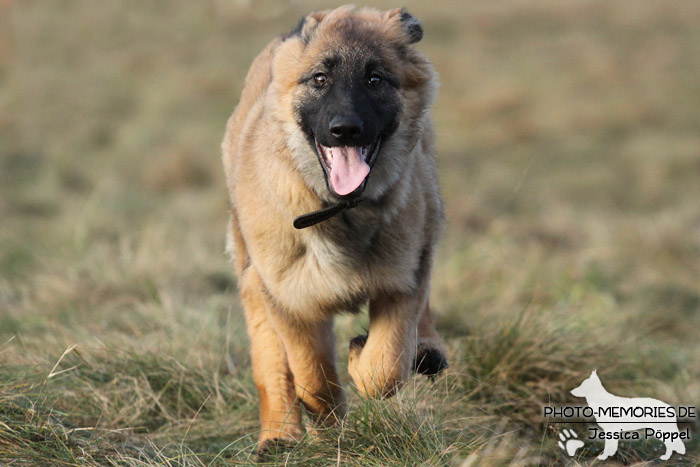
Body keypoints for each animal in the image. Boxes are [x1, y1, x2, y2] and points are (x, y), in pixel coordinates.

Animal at [220, 4, 448, 458]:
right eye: (320, 79)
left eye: (375, 79)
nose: (346, 130)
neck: (340, 212)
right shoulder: (289, 299)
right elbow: (312, 378)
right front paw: (330, 435)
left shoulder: (403, 278)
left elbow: (387, 365)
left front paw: (363, 358)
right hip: (254, 281)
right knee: (271, 364)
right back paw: (279, 436)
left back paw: (428, 349)